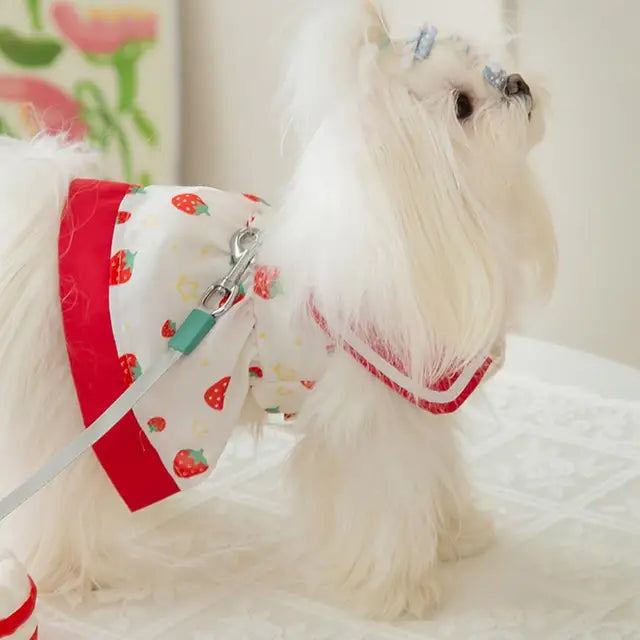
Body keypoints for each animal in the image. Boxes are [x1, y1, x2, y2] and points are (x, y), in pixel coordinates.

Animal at [0, 0, 556, 620]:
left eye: (491, 67)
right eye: (462, 106)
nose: (516, 82)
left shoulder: (420, 398)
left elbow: (437, 469)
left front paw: (457, 534)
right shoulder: (374, 417)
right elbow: (386, 498)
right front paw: (399, 591)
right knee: (61, 498)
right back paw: (71, 574)